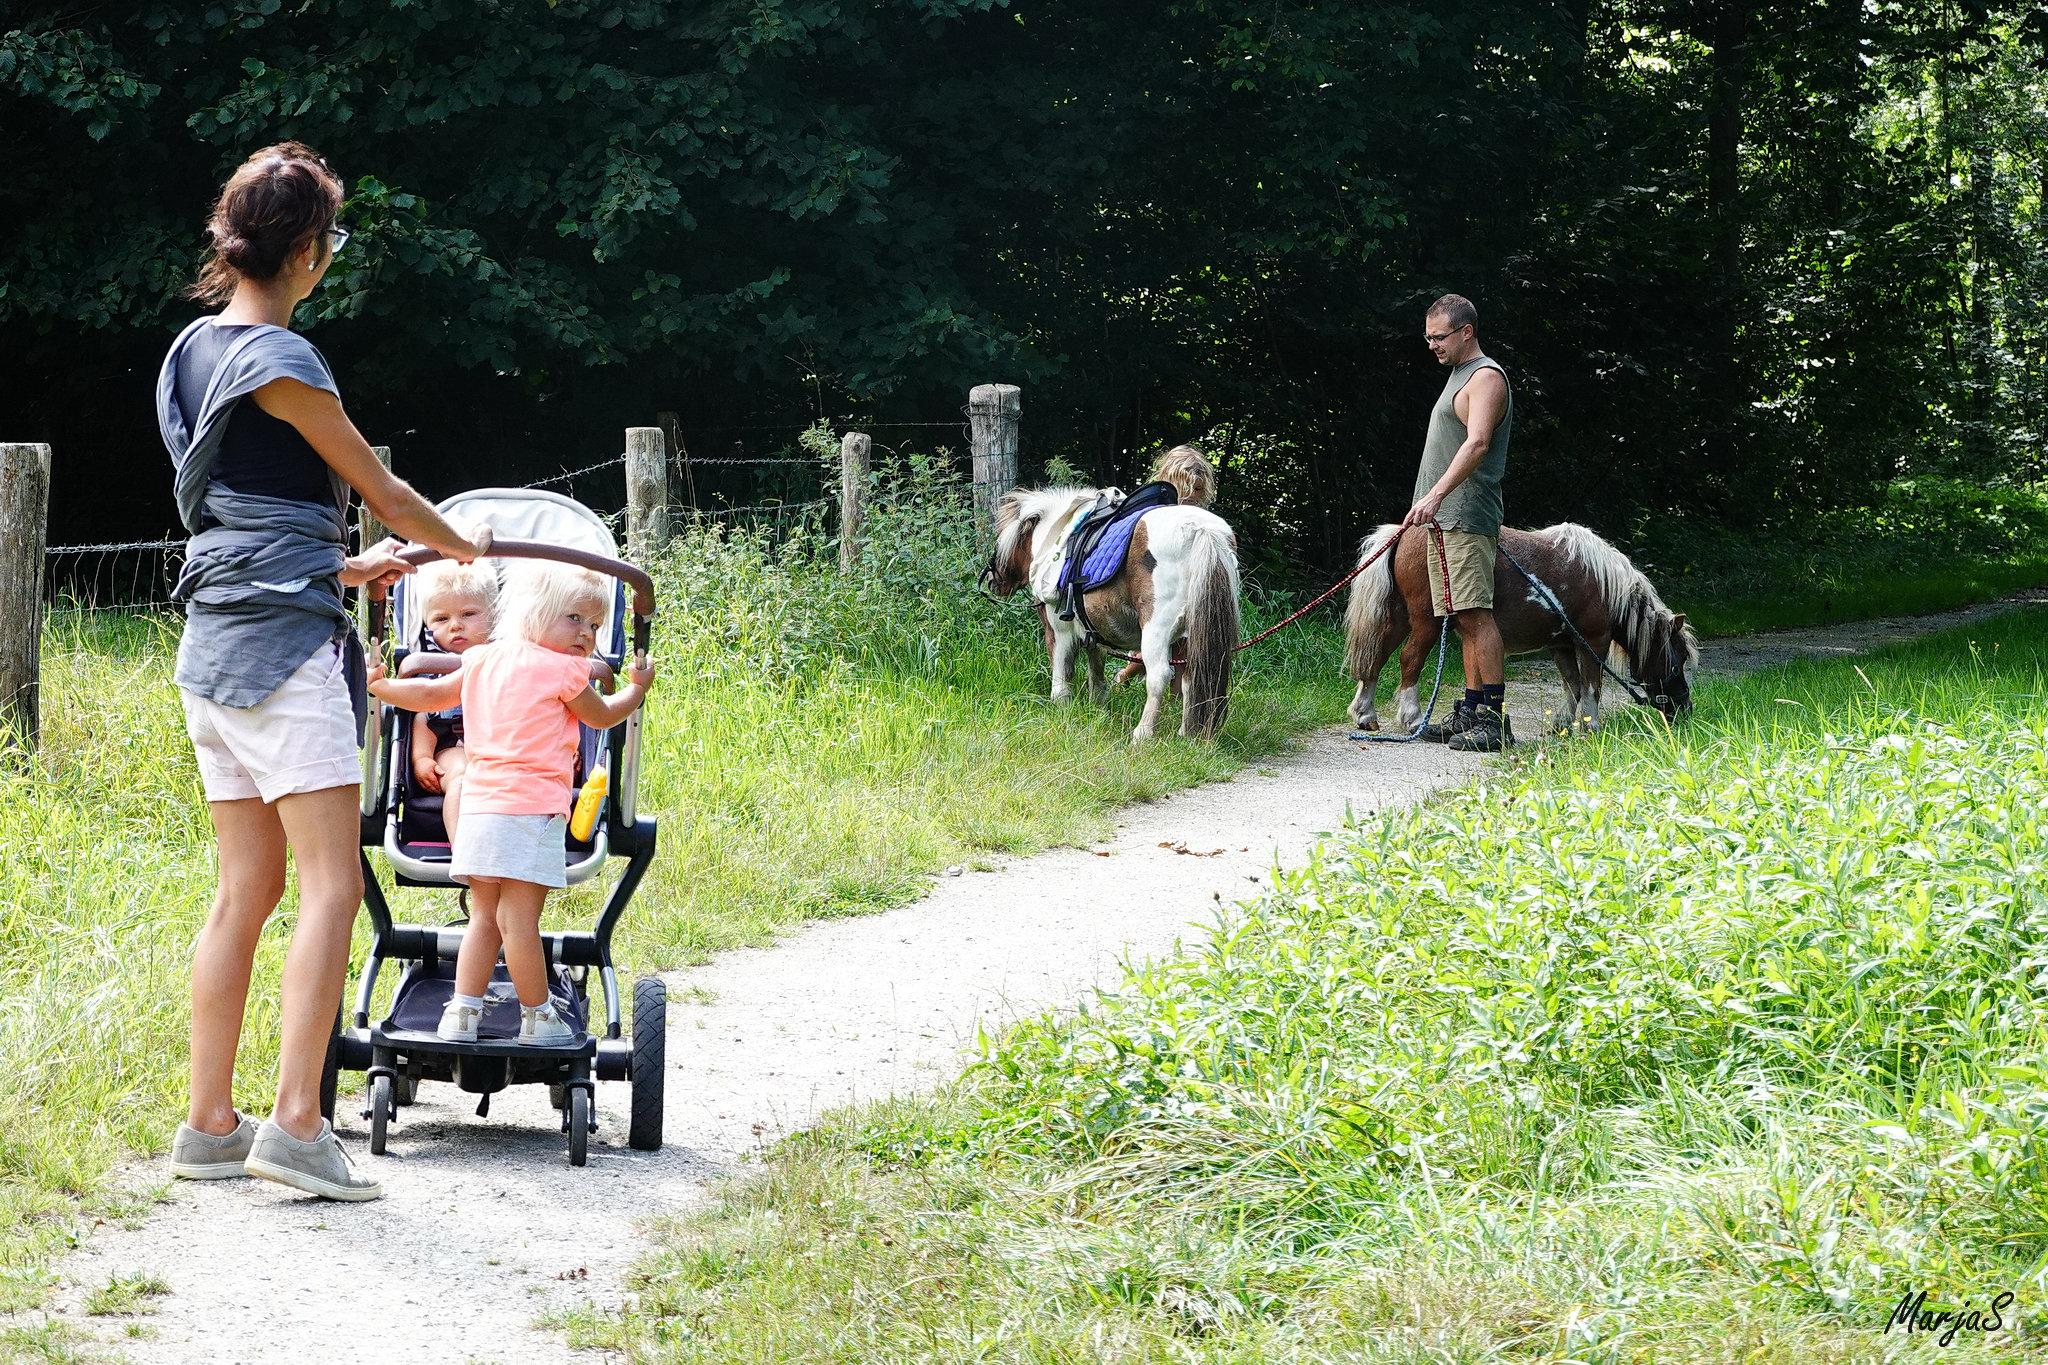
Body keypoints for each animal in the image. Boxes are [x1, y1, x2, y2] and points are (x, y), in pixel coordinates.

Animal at [1343, 523, 1695, 736]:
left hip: (1399, 618)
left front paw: (1563, 724)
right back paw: (1413, 718)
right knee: (1409, 660)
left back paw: (1365, 714)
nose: (1684, 711)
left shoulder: (1561, 645)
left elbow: (1572, 685)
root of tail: (1402, 534)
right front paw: (1591, 727)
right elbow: (1591, 687)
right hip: (1426, 622)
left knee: (1375, 659)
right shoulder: (1592, 642)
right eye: (1676, 663)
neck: (1603, 584)